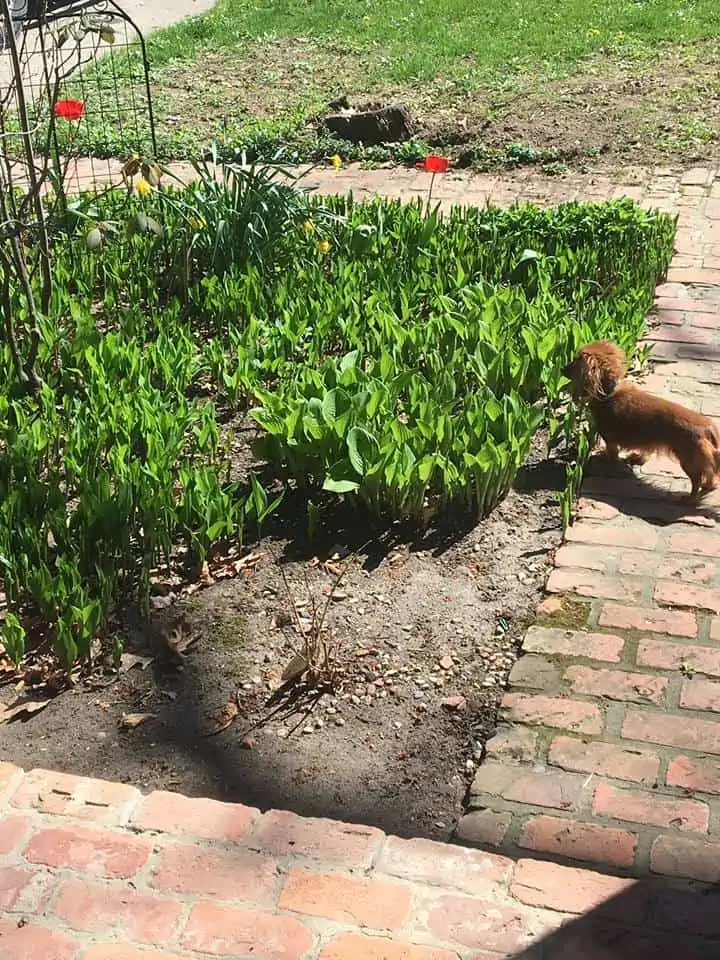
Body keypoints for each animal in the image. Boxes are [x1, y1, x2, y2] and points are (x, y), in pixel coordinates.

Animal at [564, 342, 720, 498]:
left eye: (574, 361)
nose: (561, 368)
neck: (610, 392)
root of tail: (708, 428)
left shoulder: (610, 440)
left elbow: (612, 454)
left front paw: (606, 460)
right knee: (710, 475)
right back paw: (708, 486)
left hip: (688, 461)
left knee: (697, 480)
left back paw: (689, 498)